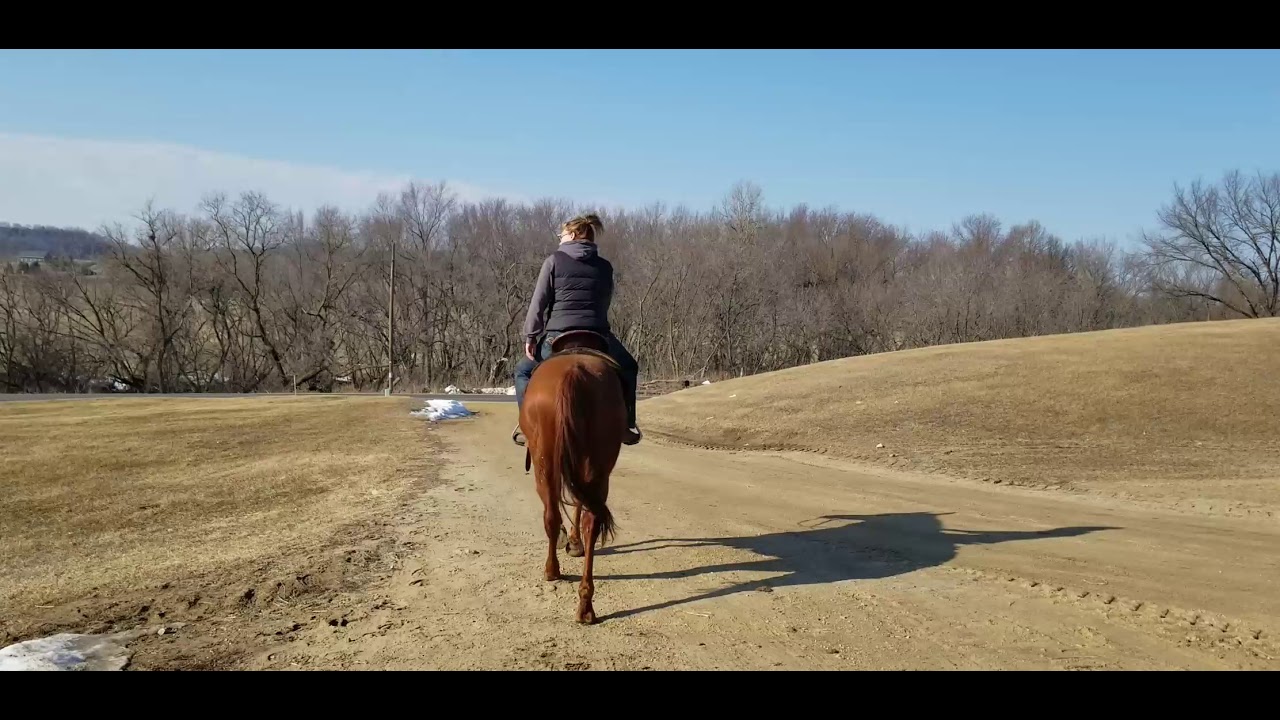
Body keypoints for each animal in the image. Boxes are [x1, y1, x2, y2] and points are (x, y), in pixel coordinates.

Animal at [519, 329, 625, 624]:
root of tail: (574, 371)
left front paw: (569, 542)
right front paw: (574, 544)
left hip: (544, 460)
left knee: (552, 515)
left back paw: (552, 570)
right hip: (597, 464)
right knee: (590, 519)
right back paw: (586, 606)